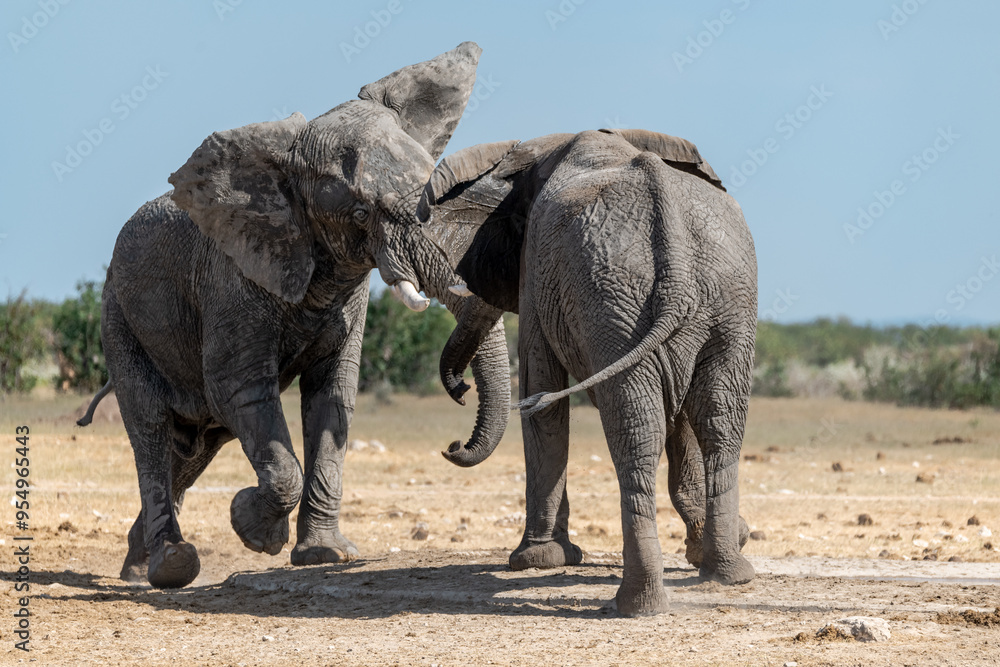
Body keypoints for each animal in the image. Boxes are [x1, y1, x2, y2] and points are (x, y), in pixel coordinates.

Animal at [76, 42, 513, 589]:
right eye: (361, 214)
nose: (454, 442)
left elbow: (333, 395)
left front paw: (325, 555)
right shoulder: (232, 278)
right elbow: (238, 388)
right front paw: (254, 530)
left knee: (197, 445)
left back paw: (137, 567)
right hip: (118, 317)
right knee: (154, 428)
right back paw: (170, 564)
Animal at [415, 129, 757, 616]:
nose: (459, 392)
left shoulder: (534, 272)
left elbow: (541, 394)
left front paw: (536, 561)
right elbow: (681, 415)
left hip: (620, 300)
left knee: (637, 431)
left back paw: (636, 604)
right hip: (707, 297)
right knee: (714, 421)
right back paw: (727, 575)